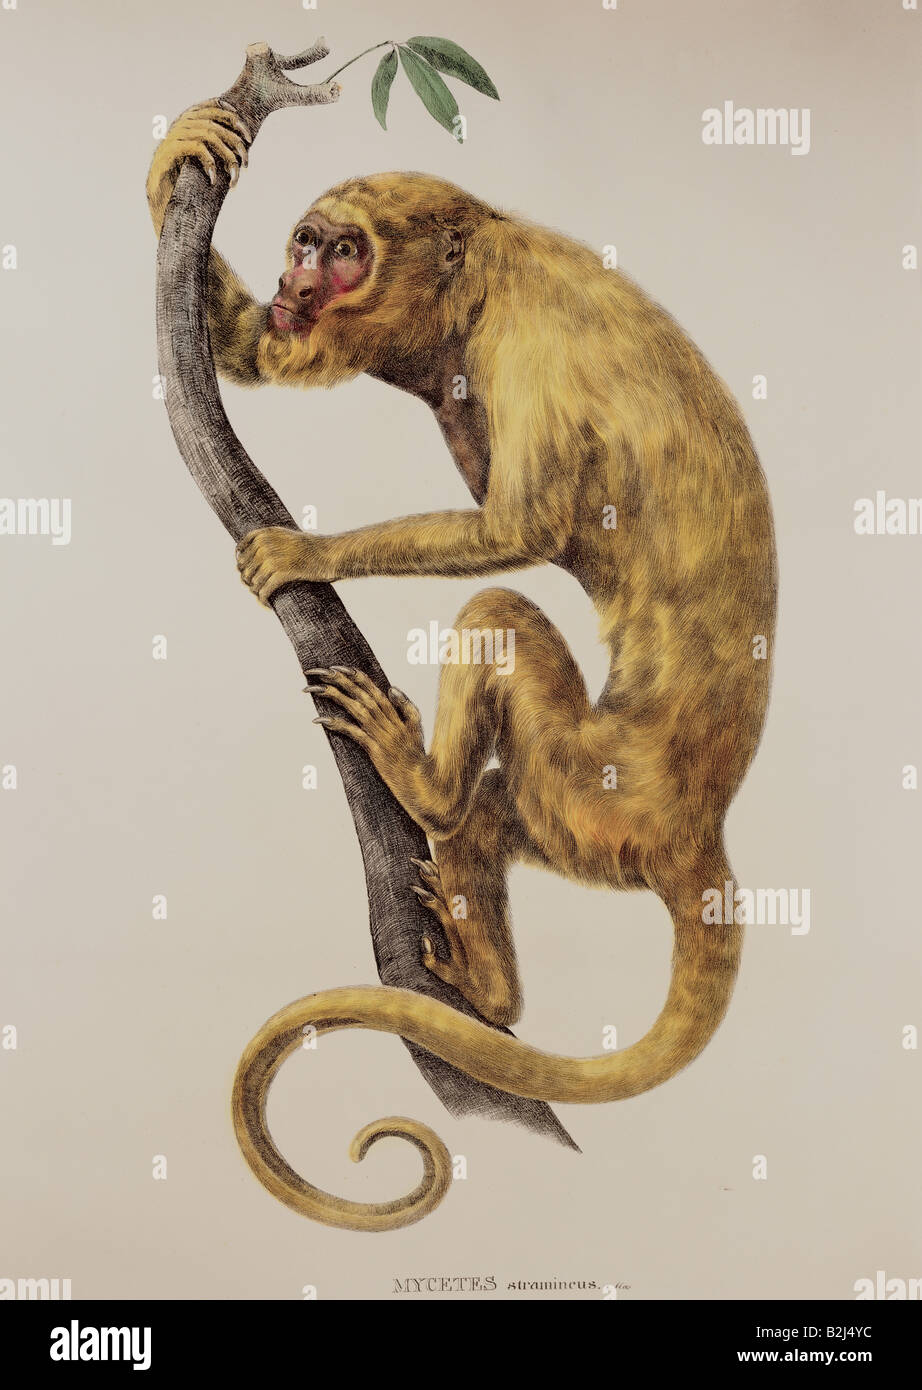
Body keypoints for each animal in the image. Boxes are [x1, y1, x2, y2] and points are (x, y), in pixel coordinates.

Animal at [148, 105, 777, 1232]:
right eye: (304, 243)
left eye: (342, 251)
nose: (298, 275)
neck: (484, 261)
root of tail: (696, 829)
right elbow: (262, 347)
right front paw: (185, 146)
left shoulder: (527, 340)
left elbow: (521, 529)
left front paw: (308, 552)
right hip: (578, 822)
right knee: (491, 820)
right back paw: (488, 990)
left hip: (589, 782)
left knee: (498, 617)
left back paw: (424, 786)